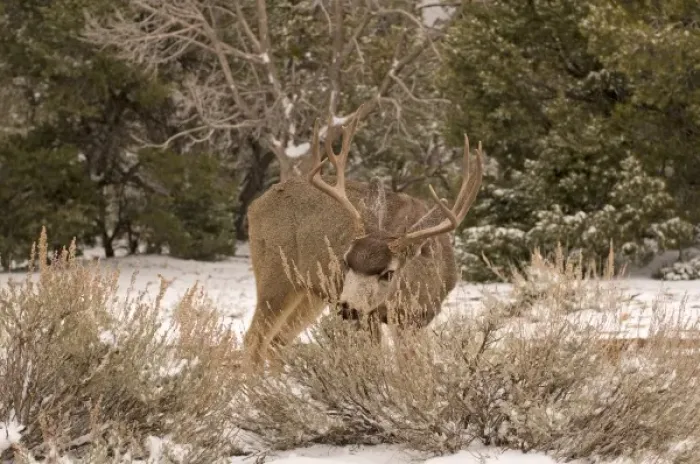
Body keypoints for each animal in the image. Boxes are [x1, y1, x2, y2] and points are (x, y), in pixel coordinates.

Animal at [243, 103, 483, 369]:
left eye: (388, 273)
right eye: (346, 261)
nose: (348, 308)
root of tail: (254, 205)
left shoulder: (415, 319)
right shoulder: (371, 316)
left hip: (311, 293)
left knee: (277, 341)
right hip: (275, 275)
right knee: (254, 339)